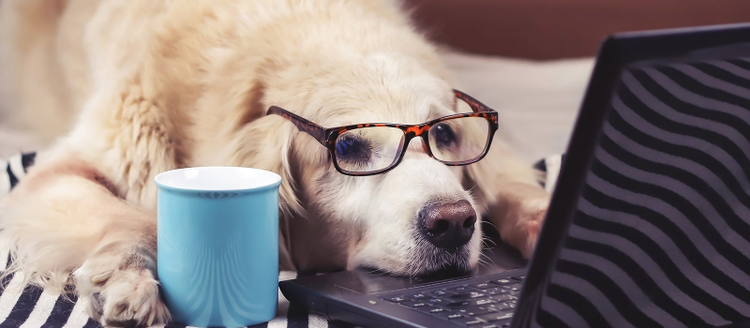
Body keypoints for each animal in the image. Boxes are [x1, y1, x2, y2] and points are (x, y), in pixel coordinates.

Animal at [0, 0, 552, 326]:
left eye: (444, 134)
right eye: (347, 150)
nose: (454, 223)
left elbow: (516, 187)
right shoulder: (59, 171)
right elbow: (134, 218)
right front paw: (127, 279)